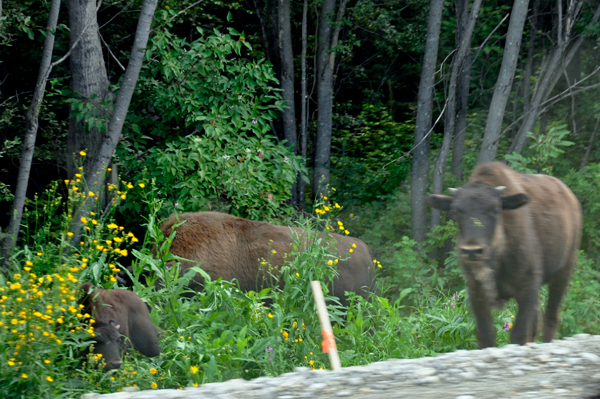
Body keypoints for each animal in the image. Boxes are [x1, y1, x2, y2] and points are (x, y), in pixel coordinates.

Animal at [428, 161, 584, 348]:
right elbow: (486, 335)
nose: (472, 251)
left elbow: (518, 334)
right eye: (456, 211)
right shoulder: (476, 291)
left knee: (551, 317)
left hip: (563, 273)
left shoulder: (527, 288)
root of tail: (571, 198)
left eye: (495, 209)